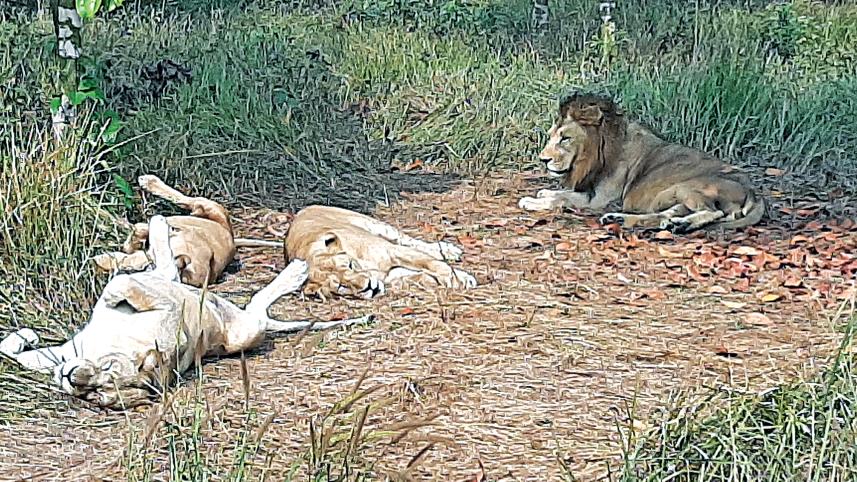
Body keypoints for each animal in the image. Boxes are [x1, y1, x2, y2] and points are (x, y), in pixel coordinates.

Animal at [0, 215, 373, 409]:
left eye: (103, 381)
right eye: (94, 393)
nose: (72, 380)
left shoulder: (165, 307)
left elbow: (125, 283)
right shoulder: (64, 352)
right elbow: (13, 354)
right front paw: (24, 337)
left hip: (246, 325)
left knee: (257, 301)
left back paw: (296, 271)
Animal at [93, 175, 281, 287]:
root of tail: (231, 235)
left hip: (207, 206)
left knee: (184, 199)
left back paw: (148, 183)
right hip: (209, 208)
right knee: (187, 202)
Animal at [285, 205, 477, 299]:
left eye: (350, 265)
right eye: (341, 286)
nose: (369, 286)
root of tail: (301, 212)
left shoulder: (393, 251)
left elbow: (433, 264)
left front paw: (458, 280)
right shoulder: (393, 273)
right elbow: (420, 275)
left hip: (376, 225)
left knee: (411, 241)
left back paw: (449, 250)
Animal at [518, 93, 765, 233]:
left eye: (565, 138)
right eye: (551, 136)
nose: (543, 159)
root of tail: (755, 191)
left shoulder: (600, 201)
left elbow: (563, 199)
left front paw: (533, 201)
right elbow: (564, 193)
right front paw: (545, 193)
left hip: (688, 187)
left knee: (714, 212)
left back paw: (680, 225)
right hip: (669, 195)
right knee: (667, 214)